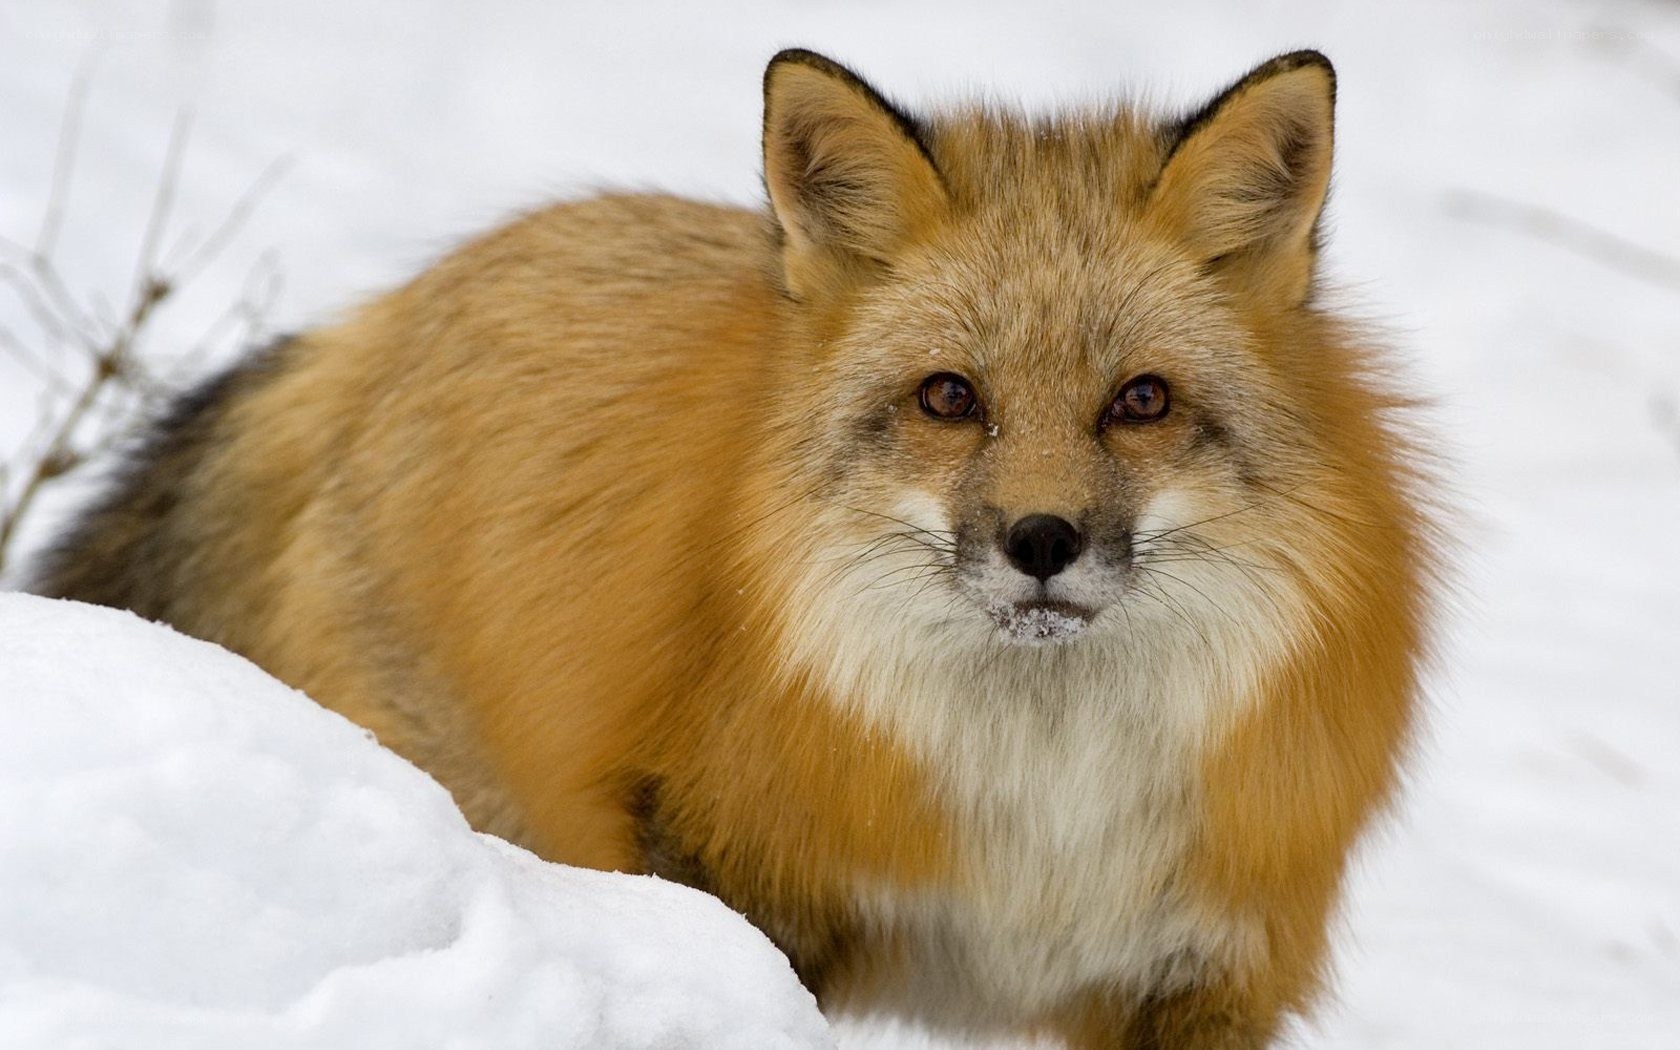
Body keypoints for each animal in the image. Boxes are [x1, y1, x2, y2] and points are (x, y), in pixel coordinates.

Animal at [31, 47, 1436, 1047]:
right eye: (950, 398)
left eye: (1141, 401)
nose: (1042, 540)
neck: (1042, 813)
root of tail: (383, 316)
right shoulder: (735, 874)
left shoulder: (1200, 970)